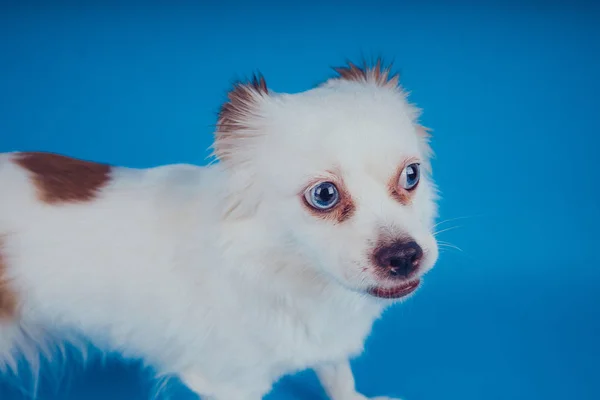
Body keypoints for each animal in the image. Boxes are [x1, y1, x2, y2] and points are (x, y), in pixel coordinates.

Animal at [1, 60, 440, 400]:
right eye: (324, 195)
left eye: (411, 175)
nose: (404, 255)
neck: (294, 274)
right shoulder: (228, 383)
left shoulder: (330, 344)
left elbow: (338, 375)